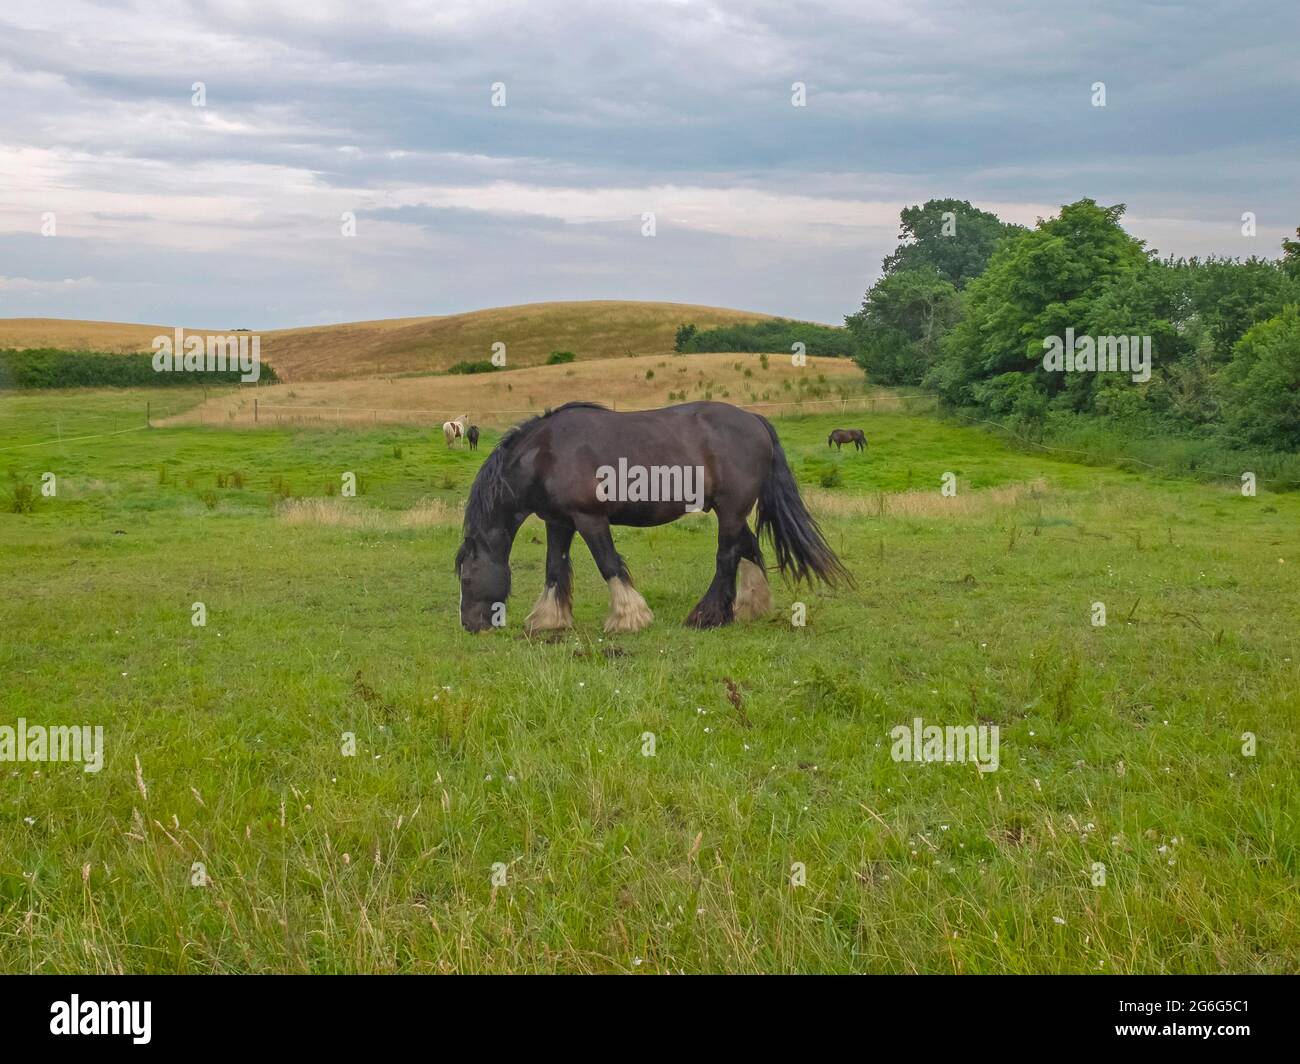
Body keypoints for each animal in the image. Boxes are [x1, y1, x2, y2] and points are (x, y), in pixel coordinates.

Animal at [457, 398, 852, 629]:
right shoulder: (559, 522)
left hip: (730, 509)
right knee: (749, 548)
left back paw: (706, 616)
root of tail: (756, 420)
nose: (471, 625)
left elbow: (609, 564)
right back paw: (748, 608)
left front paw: (630, 617)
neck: (546, 453)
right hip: (734, 512)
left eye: (465, 578)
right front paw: (549, 620)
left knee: (727, 556)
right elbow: (554, 568)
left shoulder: (590, 519)